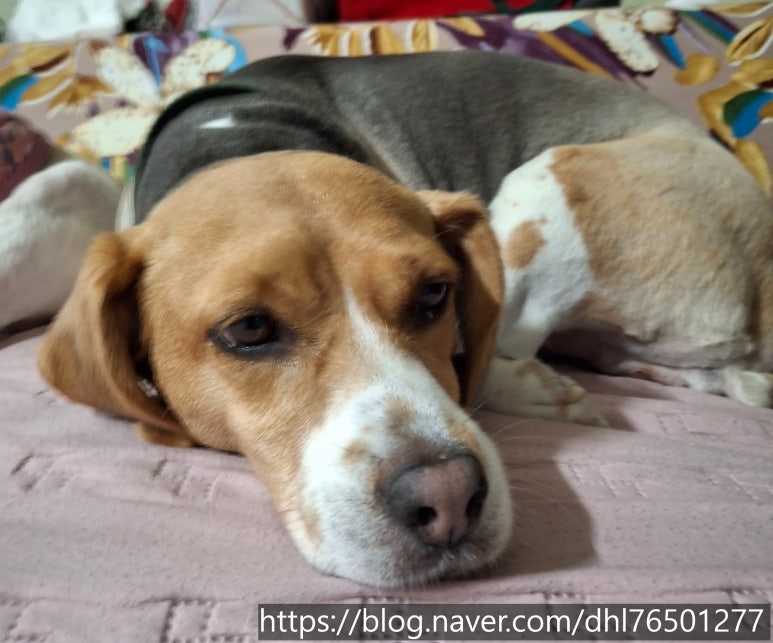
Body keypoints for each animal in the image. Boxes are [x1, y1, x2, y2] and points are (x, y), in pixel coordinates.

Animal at [37, 51, 773, 587]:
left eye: (434, 294)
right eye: (248, 329)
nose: (447, 500)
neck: (242, 137)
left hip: (544, 189)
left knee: (507, 347)